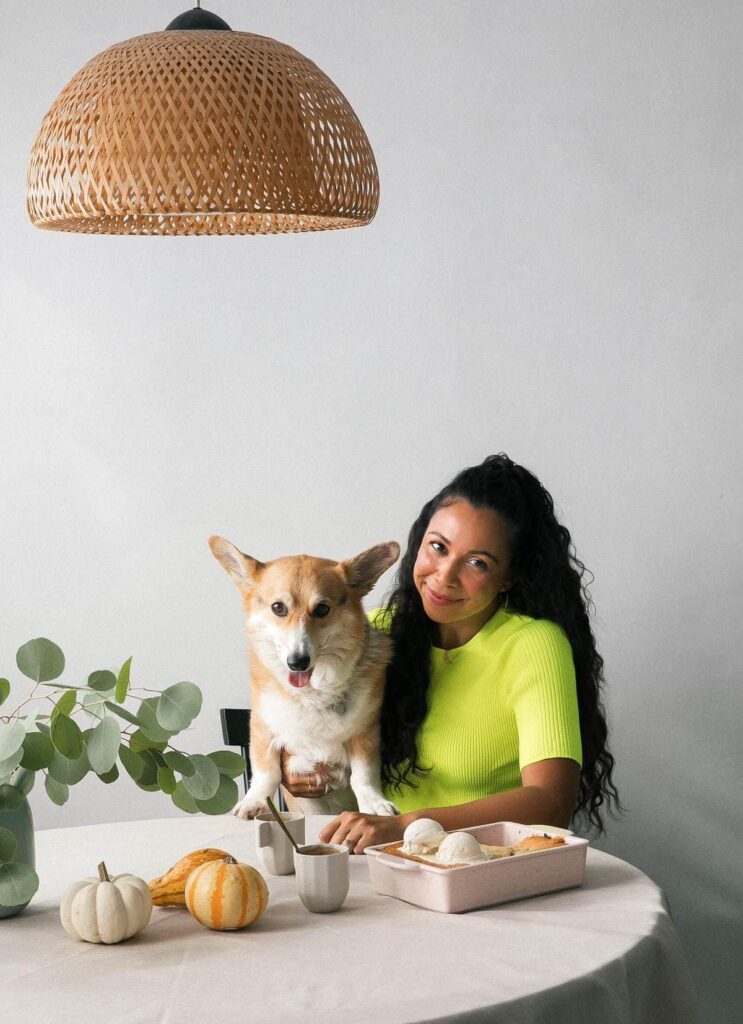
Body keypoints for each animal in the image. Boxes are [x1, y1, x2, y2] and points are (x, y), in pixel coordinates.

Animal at [209, 536, 401, 815]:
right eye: (278, 608)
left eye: (322, 609)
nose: (297, 662)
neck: (313, 691)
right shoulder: (262, 728)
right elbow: (266, 772)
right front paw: (254, 802)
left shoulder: (366, 734)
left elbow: (363, 775)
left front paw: (374, 804)